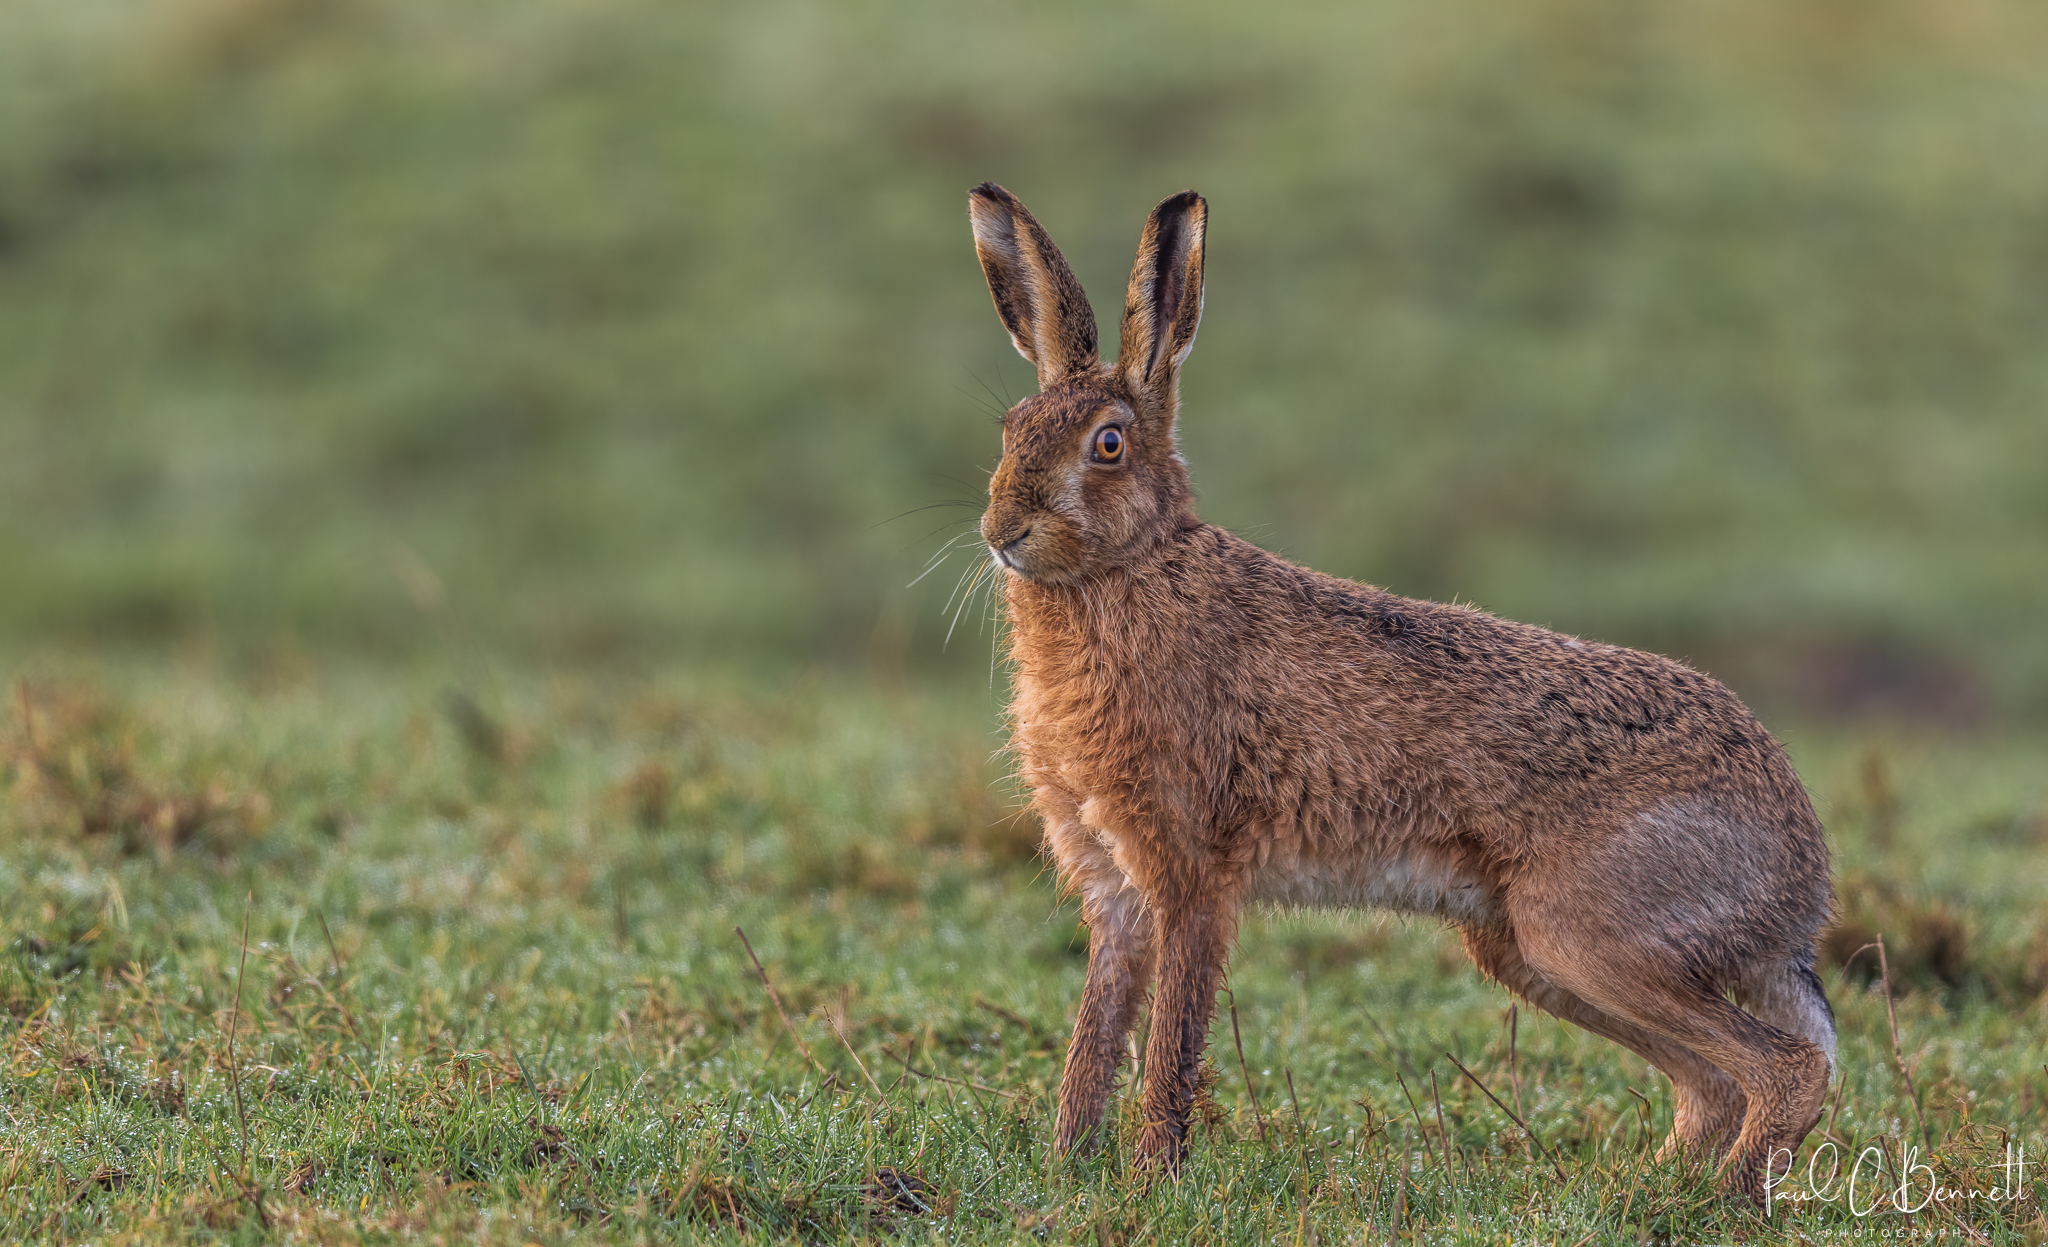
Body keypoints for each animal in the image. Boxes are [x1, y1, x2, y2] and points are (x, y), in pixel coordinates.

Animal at [964, 182, 1836, 1204]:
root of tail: (1802, 882)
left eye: (1106, 444)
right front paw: (1066, 1166)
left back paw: (1713, 1199)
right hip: (1529, 950)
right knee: (1712, 1085)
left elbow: (1171, 1041)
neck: (1129, 570)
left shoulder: (1191, 877)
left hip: (1592, 933)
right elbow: (1094, 1038)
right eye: (1010, 429)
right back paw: (1636, 1192)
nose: (1003, 530)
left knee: (1784, 1069)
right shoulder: (1112, 887)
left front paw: (1151, 1184)